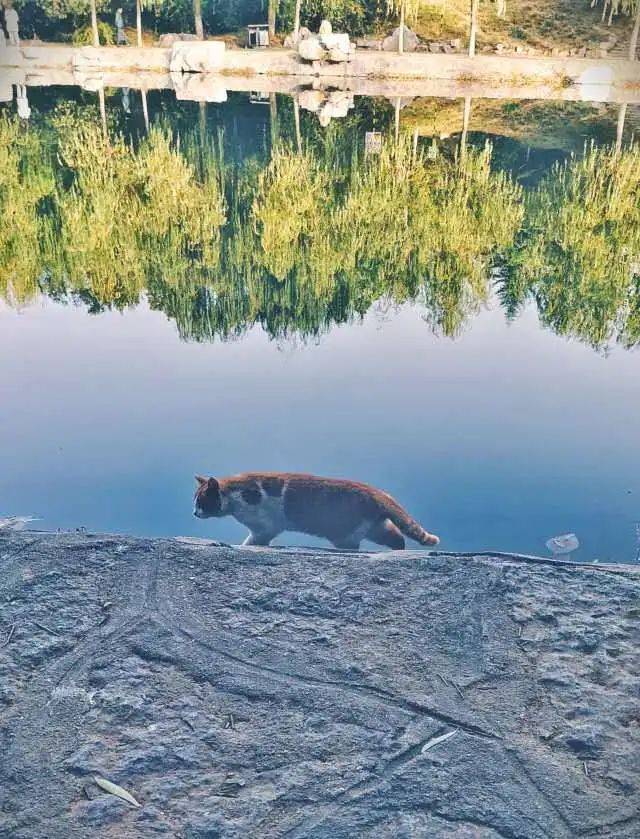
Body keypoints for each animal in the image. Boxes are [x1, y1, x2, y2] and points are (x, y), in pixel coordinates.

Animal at [191, 472, 440, 552]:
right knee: (397, 537)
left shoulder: (265, 526)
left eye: (201, 501)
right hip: (374, 527)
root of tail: (377, 491)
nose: (194, 513)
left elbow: (254, 539)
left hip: (345, 532)